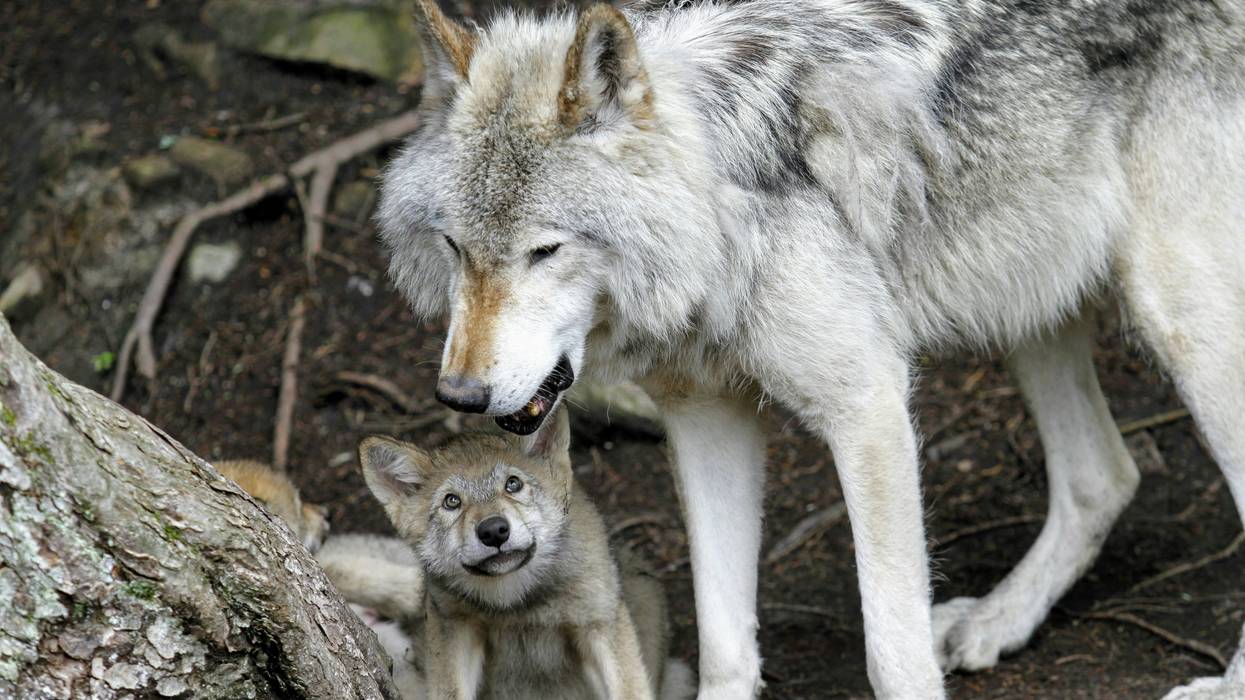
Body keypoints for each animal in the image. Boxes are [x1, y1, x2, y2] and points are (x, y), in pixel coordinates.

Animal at [357, 408, 693, 699]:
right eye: (452, 502)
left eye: (513, 484)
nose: (494, 531)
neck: (518, 604)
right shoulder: (454, 627)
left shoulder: (599, 624)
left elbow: (630, 689)